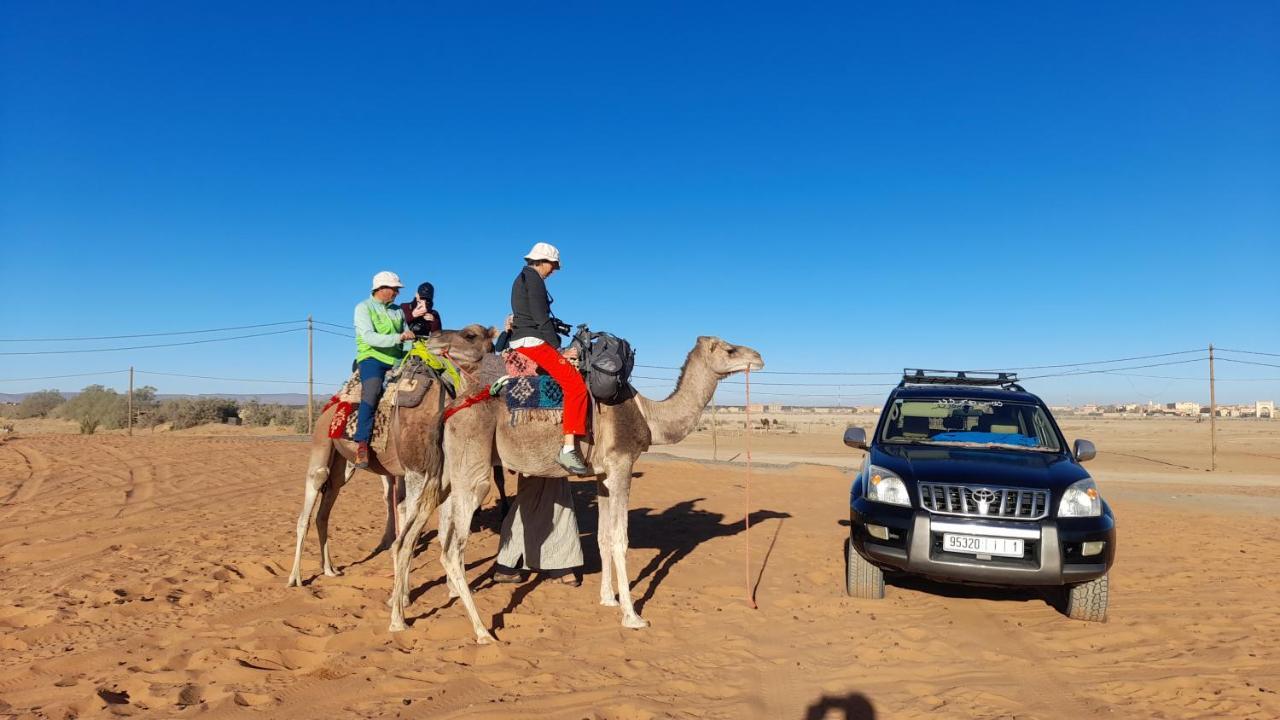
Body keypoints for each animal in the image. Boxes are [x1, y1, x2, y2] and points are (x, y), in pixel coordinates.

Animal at [435, 327, 762, 630]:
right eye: (730, 350)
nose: (758, 357)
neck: (648, 415)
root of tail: (452, 409)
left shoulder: (603, 475)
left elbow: (604, 537)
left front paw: (608, 599)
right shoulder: (622, 465)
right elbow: (620, 539)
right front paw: (632, 615)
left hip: (453, 473)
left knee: (443, 531)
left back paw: (450, 595)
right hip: (475, 469)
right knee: (454, 549)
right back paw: (482, 631)